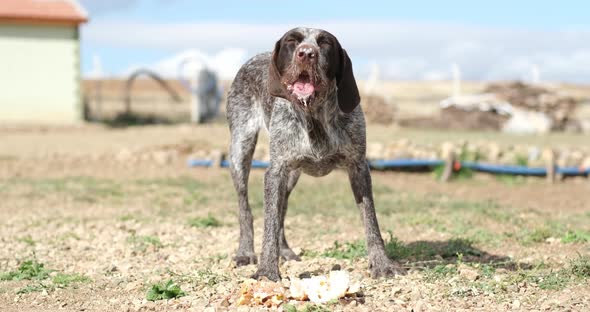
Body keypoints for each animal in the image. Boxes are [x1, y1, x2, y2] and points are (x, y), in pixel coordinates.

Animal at [228, 26, 408, 280]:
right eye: (291, 41)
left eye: (325, 43)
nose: (306, 54)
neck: (314, 115)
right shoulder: (275, 172)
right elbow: (269, 224)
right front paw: (266, 270)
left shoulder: (358, 168)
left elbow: (371, 221)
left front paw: (382, 264)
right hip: (240, 149)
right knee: (245, 207)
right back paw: (245, 252)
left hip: (292, 176)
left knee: (282, 210)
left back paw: (285, 251)